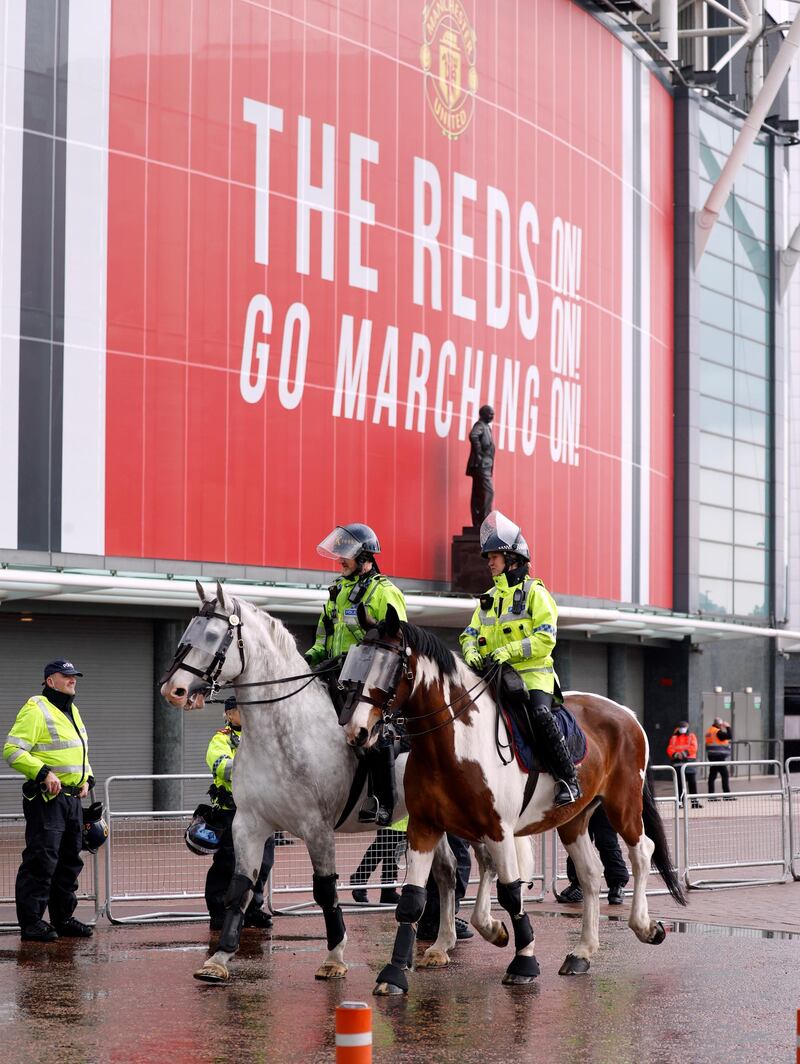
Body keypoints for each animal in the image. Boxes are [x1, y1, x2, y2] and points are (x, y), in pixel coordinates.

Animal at [159, 583, 459, 978]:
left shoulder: (317, 829)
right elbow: (239, 888)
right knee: (445, 871)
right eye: (188, 631)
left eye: (212, 635)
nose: (173, 690)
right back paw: (440, 945)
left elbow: (324, 891)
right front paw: (219, 958)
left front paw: (334, 957)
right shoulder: (248, 824)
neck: (284, 730)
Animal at [340, 608, 685, 995]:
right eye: (355, 659)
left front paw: (524, 961)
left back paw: (645, 926)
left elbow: (511, 893)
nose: (357, 731)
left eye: (389, 665)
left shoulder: (498, 829)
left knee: (642, 852)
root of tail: (627, 713)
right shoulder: (424, 827)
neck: (455, 742)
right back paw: (582, 952)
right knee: (590, 873)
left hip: (622, 805)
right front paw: (394, 973)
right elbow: (413, 899)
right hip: (574, 818)